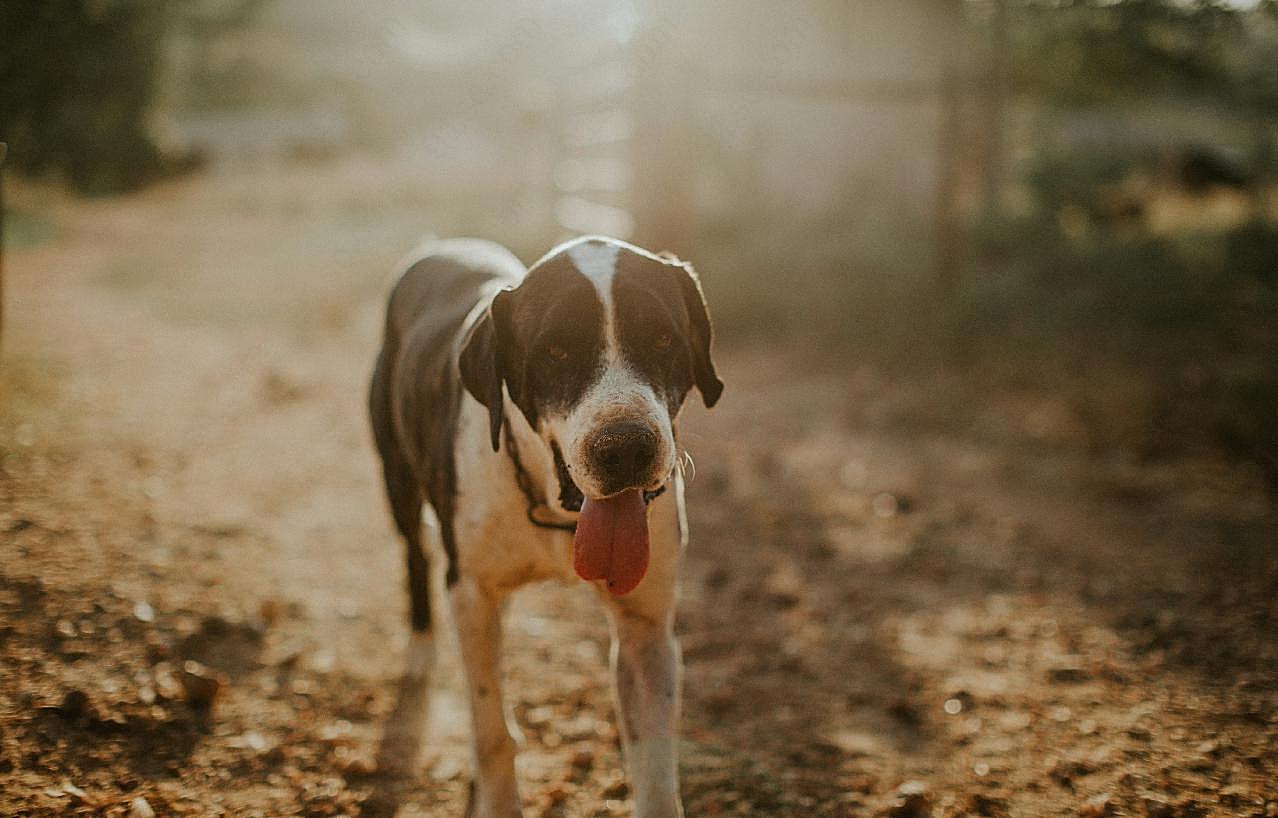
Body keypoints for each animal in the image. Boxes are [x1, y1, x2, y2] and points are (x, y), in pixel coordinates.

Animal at [370, 232, 725, 812]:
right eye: (555, 351)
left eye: (663, 339)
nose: (626, 448)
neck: (556, 509)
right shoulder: (472, 594)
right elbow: (491, 731)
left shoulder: (645, 630)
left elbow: (654, 768)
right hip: (398, 479)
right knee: (415, 554)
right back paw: (422, 648)